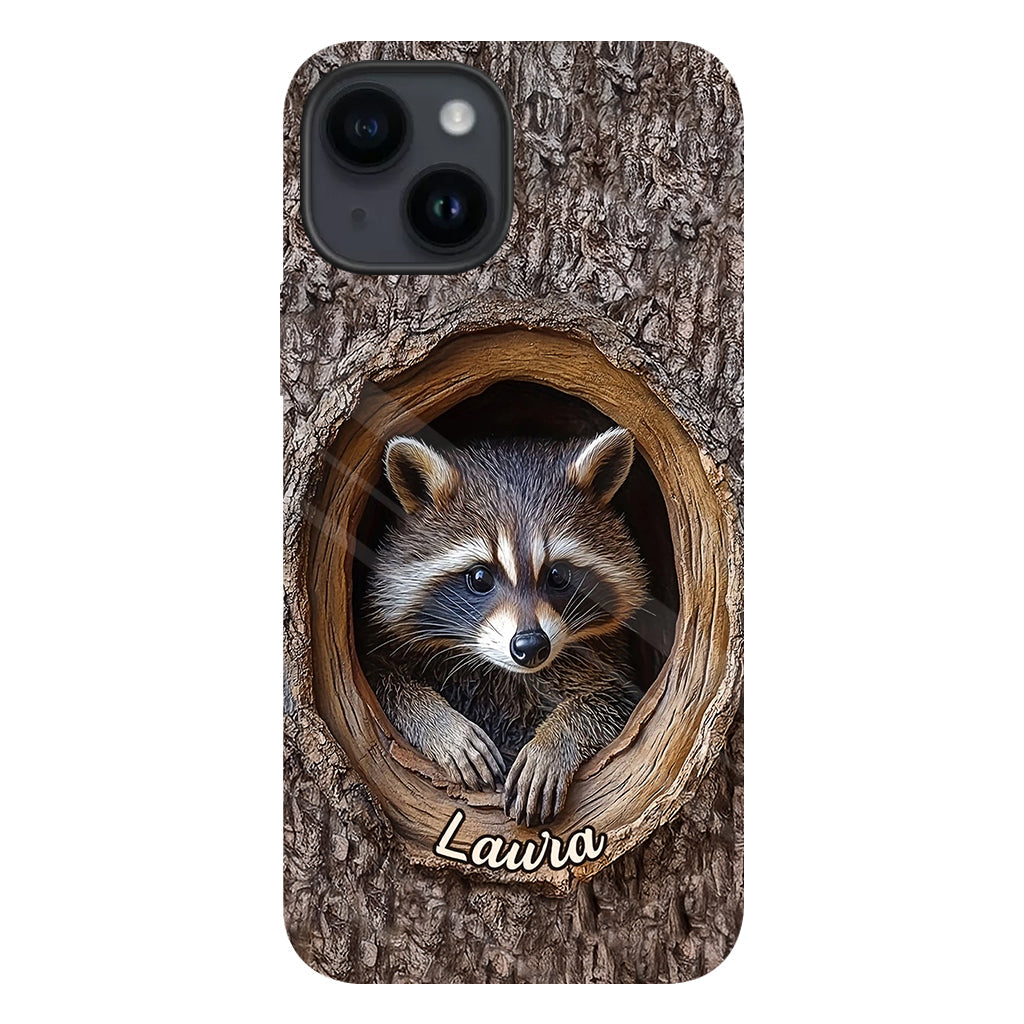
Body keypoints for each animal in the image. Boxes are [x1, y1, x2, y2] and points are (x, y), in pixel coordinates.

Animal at [364, 426, 648, 827]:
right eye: (480, 577)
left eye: (557, 575)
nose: (530, 646)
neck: (504, 673)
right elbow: (384, 681)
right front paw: (441, 724)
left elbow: (611, 701)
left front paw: (554, 740)